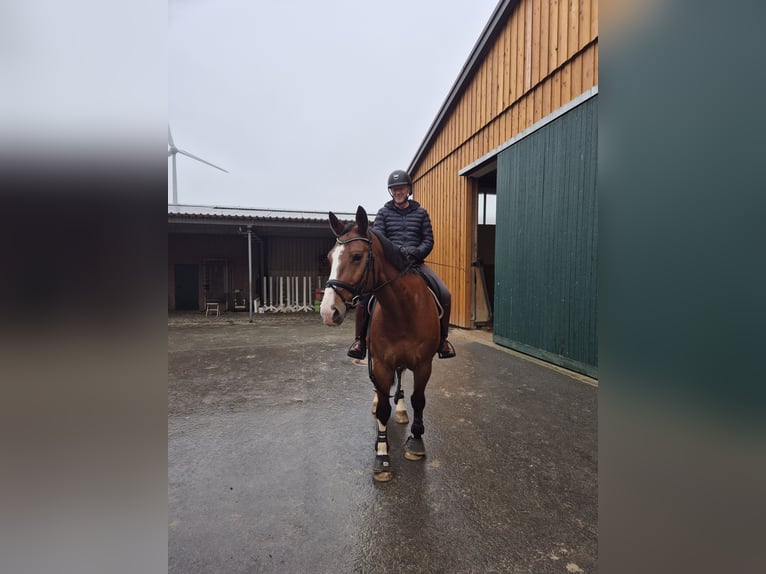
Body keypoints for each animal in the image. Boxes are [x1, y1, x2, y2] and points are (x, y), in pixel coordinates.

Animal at [318, 205, 438, 484]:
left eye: (357, 256)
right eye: (330, 258)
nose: (328, 312)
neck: (403, 310)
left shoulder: (424, 365)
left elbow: (419, 400)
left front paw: (416, 442)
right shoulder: (382, 363)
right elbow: (383, 409)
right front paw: (382, 456)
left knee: (401, 379)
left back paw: (402, 410)